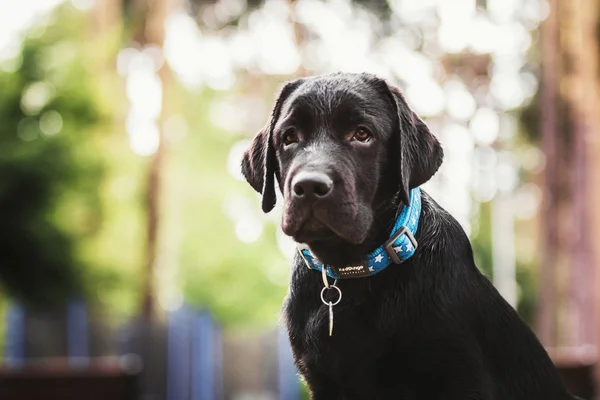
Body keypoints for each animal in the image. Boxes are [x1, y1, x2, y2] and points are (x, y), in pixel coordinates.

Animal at [239, 72, 576, 400]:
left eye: (362, 134)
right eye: (289, 137)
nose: (309, 185)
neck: (350, 274)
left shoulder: (461, 376)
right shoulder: (323, 383)